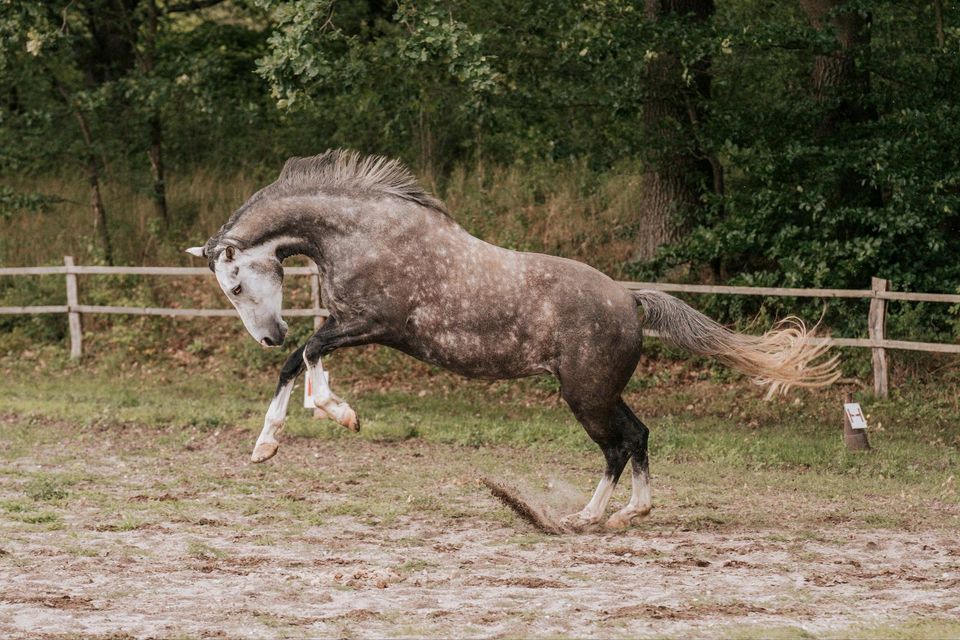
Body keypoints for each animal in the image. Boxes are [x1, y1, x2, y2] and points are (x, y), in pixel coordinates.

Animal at [184, 150, 836, 528]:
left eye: (235, 283)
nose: (268, 336)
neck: (361, 234)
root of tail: (630, 299)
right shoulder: (347, 325)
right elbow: (296, 364)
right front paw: (266, 445)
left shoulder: (371, 325)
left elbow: (309, 356)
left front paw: (337, 414)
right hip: (599, 391)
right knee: (638, 436)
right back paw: (624, 512)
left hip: (585, 396)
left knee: (617, 446)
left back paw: (587, 517)